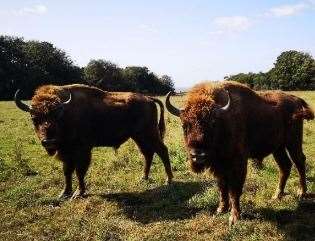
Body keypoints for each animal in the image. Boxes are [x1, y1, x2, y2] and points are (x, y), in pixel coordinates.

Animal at [14, 84, 174, 200]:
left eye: (57, 116)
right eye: (34, 118)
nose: (48, 141)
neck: (67, 112)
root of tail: (149, 98)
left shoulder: (82, 150)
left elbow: (79, 171)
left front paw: (78, 193)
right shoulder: (67, 153)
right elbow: (67, 171)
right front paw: (64, 193)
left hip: (149, 134)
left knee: (162, 151)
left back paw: (168, 180)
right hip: (139, 137)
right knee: (148, 154)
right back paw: (143, 178)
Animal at [167, 82, 314, 225]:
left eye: (213, 124)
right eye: (184, 125)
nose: (198, 156)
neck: (223, 121)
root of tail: (296, 100)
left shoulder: (238, 163)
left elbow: (234, 189)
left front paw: (234, 217)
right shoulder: (219, 166)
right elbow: (222, 187)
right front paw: (221, 209)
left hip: (293, 142)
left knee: (299, 161)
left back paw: (301, 192)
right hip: (278, 148)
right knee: (285, 167)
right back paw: (277, 195)